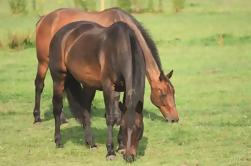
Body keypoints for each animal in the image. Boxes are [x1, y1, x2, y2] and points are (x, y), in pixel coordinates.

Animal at [33, 7, 178, 123]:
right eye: (163, 93)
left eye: (173, 92)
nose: (174, 118)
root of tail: (44, 19)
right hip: (44, 62)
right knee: (40, 84)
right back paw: (38, 116)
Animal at [48, 21, 145, 162]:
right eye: (124, 127)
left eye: (139, 128)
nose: (128, 157)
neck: (120, 48)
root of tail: (59, 33)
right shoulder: (108, 87)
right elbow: (110, 118)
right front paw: (110, 151)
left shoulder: (125, 89)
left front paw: (120, 146)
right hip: (59, 79)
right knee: (57, 107)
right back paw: (58, 141)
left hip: (89, 85)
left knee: (85, 108)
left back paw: (90, 143)